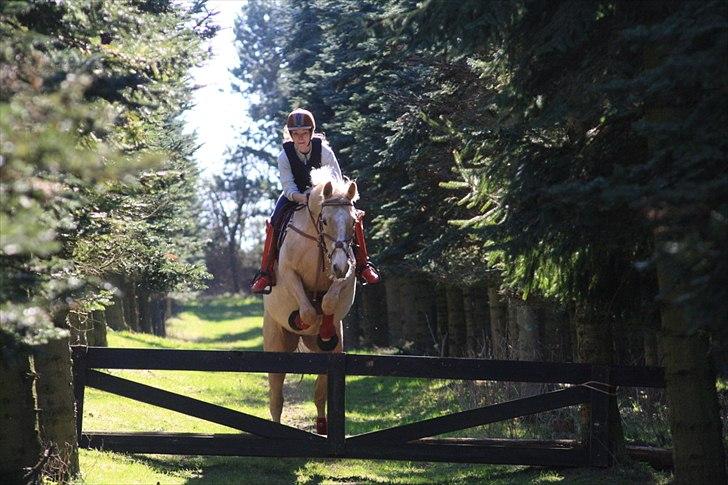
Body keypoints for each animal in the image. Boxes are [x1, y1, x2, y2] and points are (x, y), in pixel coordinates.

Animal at [264, 166, 362, 434]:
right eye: (325, 220)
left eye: (353, 222)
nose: (338, 265)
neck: (318, 243)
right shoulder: (289, 273)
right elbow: (307, 311)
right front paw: (300, 319)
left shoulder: (347, 273)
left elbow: (328, 301)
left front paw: (325, 330)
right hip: (275, 344)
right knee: (276, 396)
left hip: (332, 353)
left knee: (320, 392)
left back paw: (321, 425)